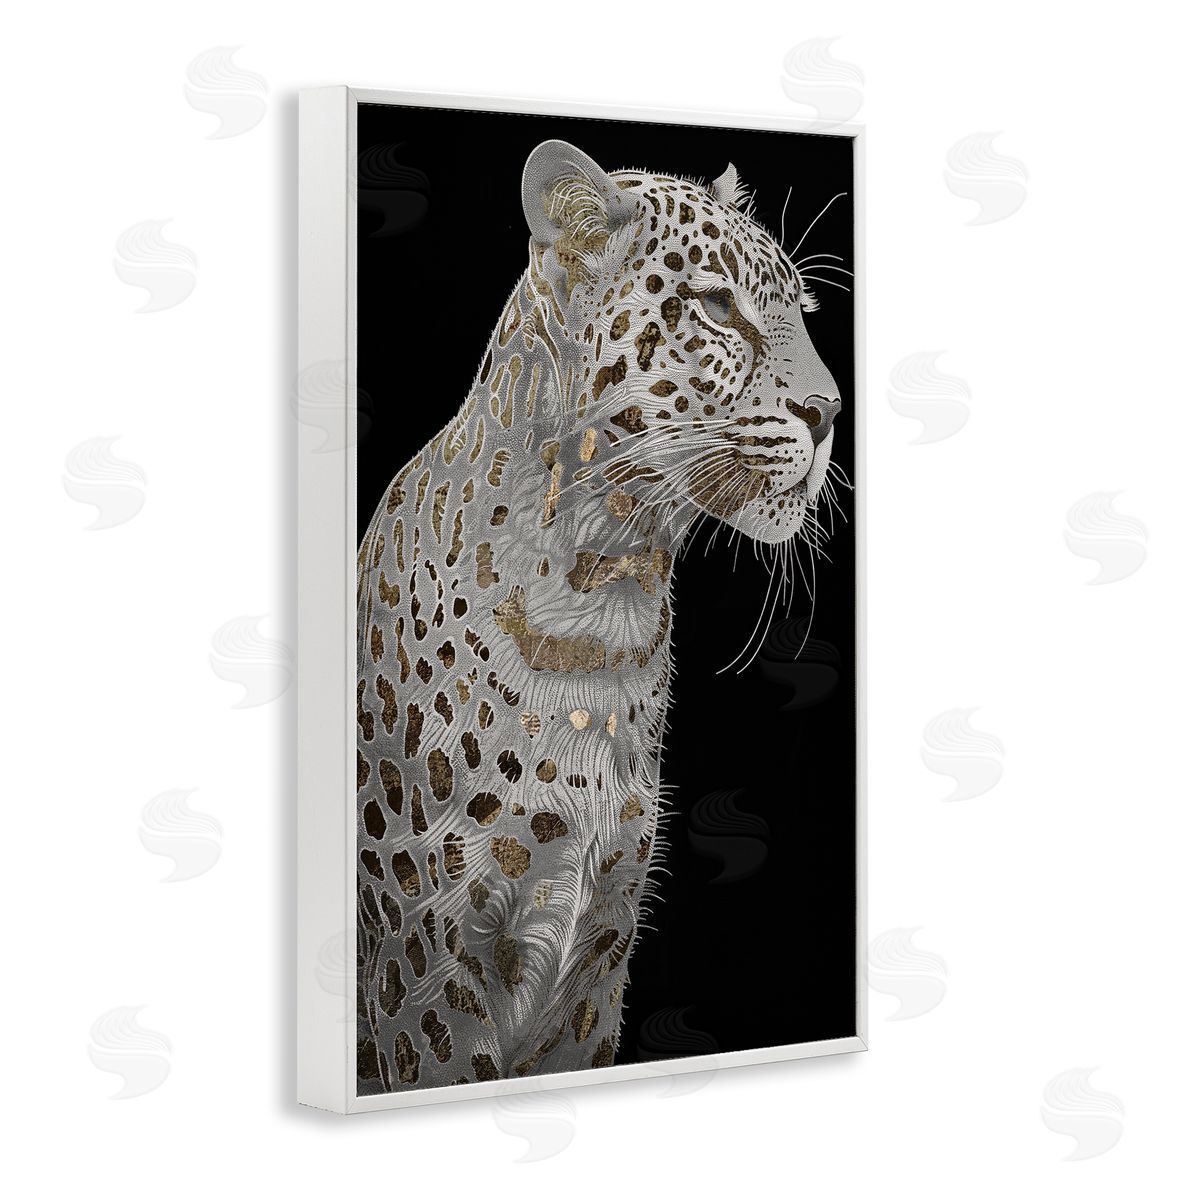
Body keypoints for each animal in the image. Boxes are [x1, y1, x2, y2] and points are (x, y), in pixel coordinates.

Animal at [354, 139, 844, 1093]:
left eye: (798, 311)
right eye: (718, 307)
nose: (831, 412)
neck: (604, 598)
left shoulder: (599, 952)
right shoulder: (429, 970)